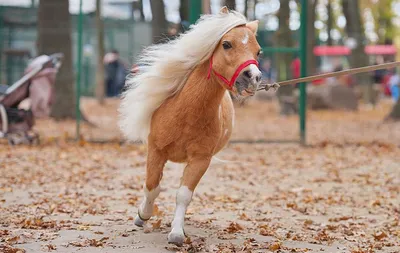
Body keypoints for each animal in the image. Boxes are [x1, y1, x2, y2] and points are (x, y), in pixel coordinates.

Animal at [119, 6, 262, 246]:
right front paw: (142, 215)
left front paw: (177, 233)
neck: (187, 114)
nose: (252, 77)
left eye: (258, 51)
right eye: (227, 44)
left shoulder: (200, 159)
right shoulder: (156, 151)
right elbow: (152, 186)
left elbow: (183, 194)